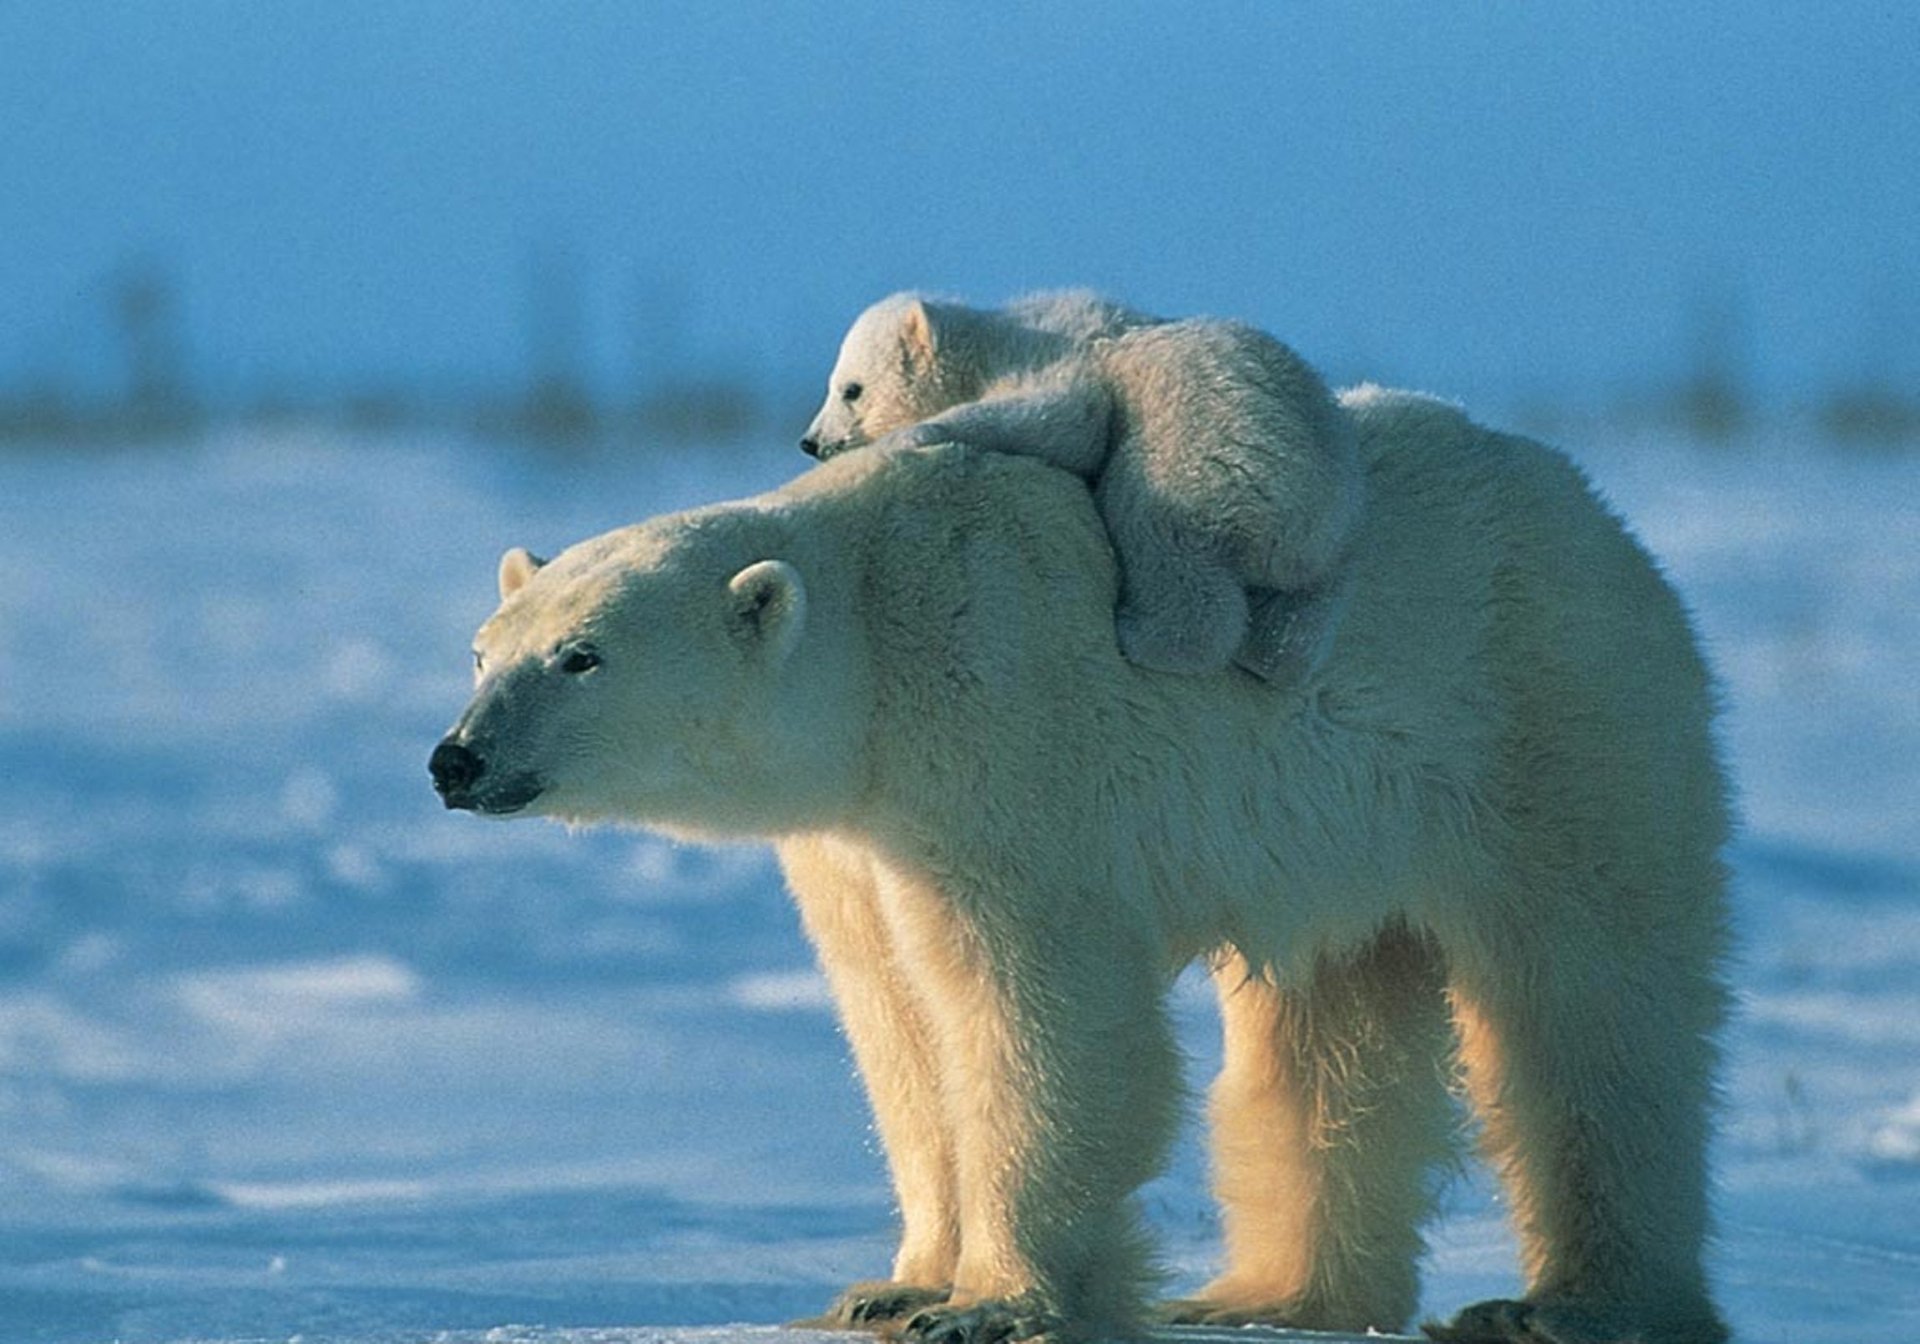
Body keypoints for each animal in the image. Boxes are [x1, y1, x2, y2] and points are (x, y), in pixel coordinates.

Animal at [432, 389, 1731, 1344]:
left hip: (1549, 722)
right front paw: (894, 1285)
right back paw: (1266, 1297)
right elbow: (899, 1025)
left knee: (1590, 1009)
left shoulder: (1003, 741)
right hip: (1342, 836)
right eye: (485, 649)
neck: (878, 639)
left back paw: (1571, 1305)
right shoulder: (859, 841)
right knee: (1328, 1040)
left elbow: (1036, 1010)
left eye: (582, 656)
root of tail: (1600, 514)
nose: (457, 758)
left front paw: (994, 1305)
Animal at [799, 291, 1363, 688]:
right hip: (1333, 532)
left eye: (851, 389)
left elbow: (1068, 418)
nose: (811, 442)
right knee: (1304, 613)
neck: (996, 338)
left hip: (1200, 459)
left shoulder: (1055, 359)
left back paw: (1140, 633)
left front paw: (914, 433)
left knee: (1158, 532)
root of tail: (1298, 527)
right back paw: (1271, 653)